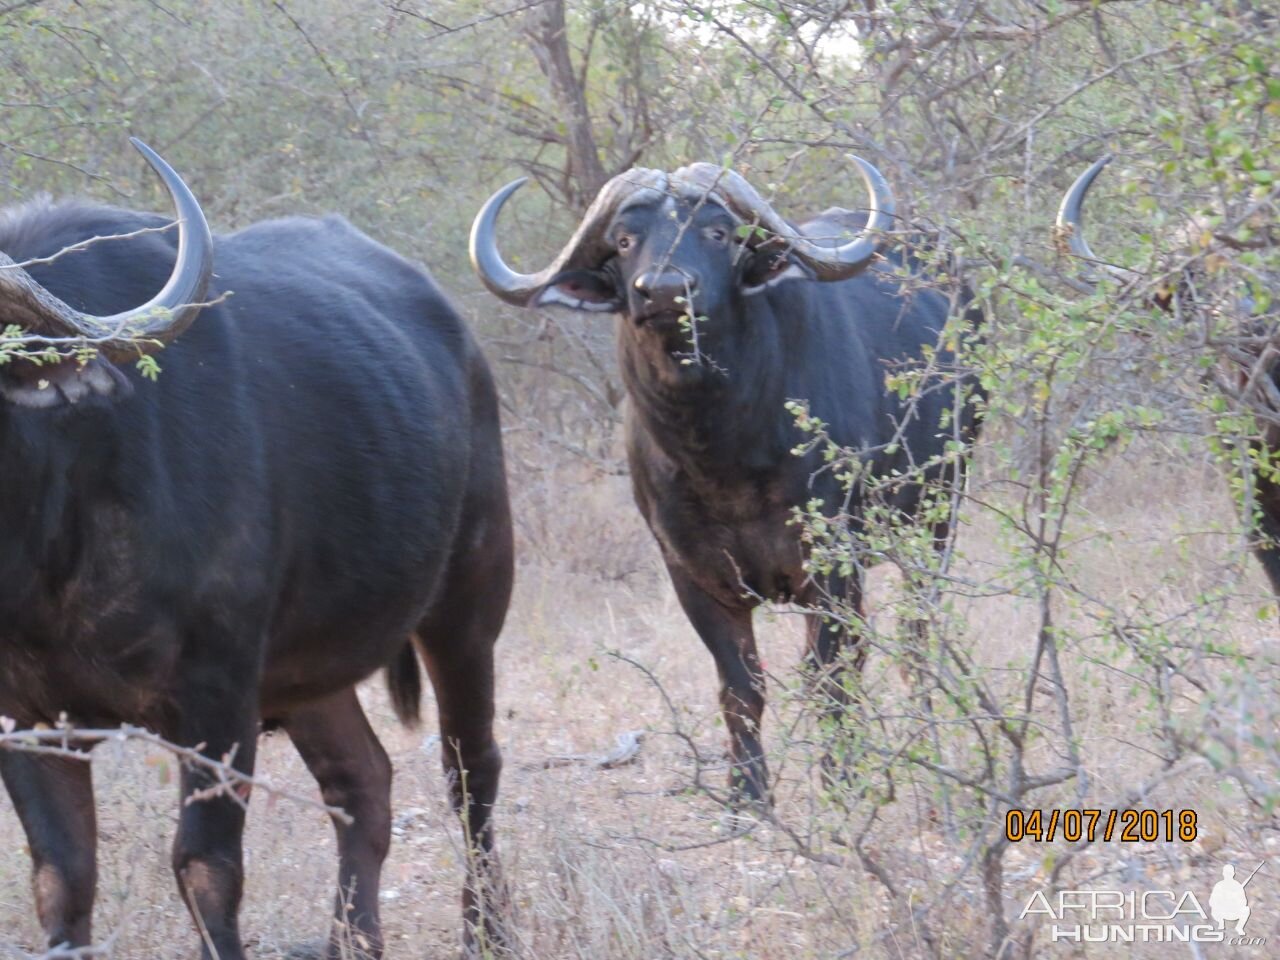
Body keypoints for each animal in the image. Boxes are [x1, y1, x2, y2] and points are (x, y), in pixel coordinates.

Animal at [1, 138, 509, 957]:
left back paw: (485, 931)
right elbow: (62, 877)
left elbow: (205, 868)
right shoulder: (29, 722)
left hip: (470, 605)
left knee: (471, 772)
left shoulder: (219, 695)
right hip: (310, 671)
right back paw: (353, 940)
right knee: (362, 780)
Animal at [471, 158, 977, 803]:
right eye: (625, 240)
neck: (723, 451)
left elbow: (833, 675)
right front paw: (748, 795)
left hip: (937, 516)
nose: (663, 291)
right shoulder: (693, 573)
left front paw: (840, 784)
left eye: (716, 232)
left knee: (916, 634)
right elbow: (741, 686)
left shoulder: (834, 563)